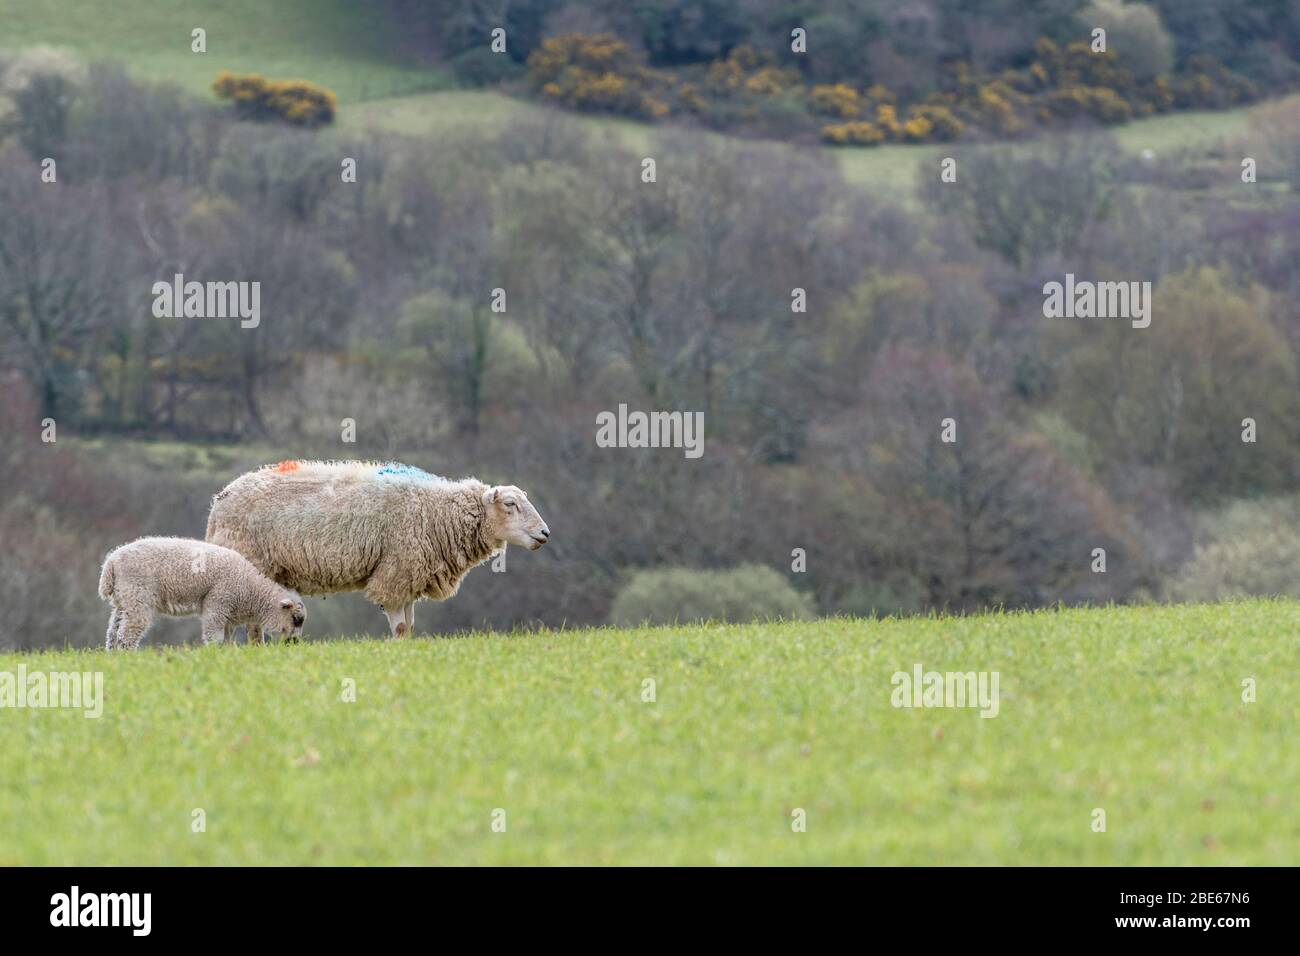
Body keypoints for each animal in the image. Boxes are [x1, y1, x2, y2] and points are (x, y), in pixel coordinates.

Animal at [98, 537, 305, 650]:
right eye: (296, 619)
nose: (295, 643)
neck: (251, 590)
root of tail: (111, 562)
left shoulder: (227, 612)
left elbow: (227, 638)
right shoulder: (218, 601)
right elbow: (215, 636)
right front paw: (214, 652)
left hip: (123, 599)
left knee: (112, 632)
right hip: (137, 597)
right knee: (126, 634)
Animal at [205, 460, 550, 639]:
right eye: (510, 504)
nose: (545, 534)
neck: (436, 510)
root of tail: (219, 501)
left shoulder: (410, 574)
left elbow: (410, 627)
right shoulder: (395, 571)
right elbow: (399, 626)